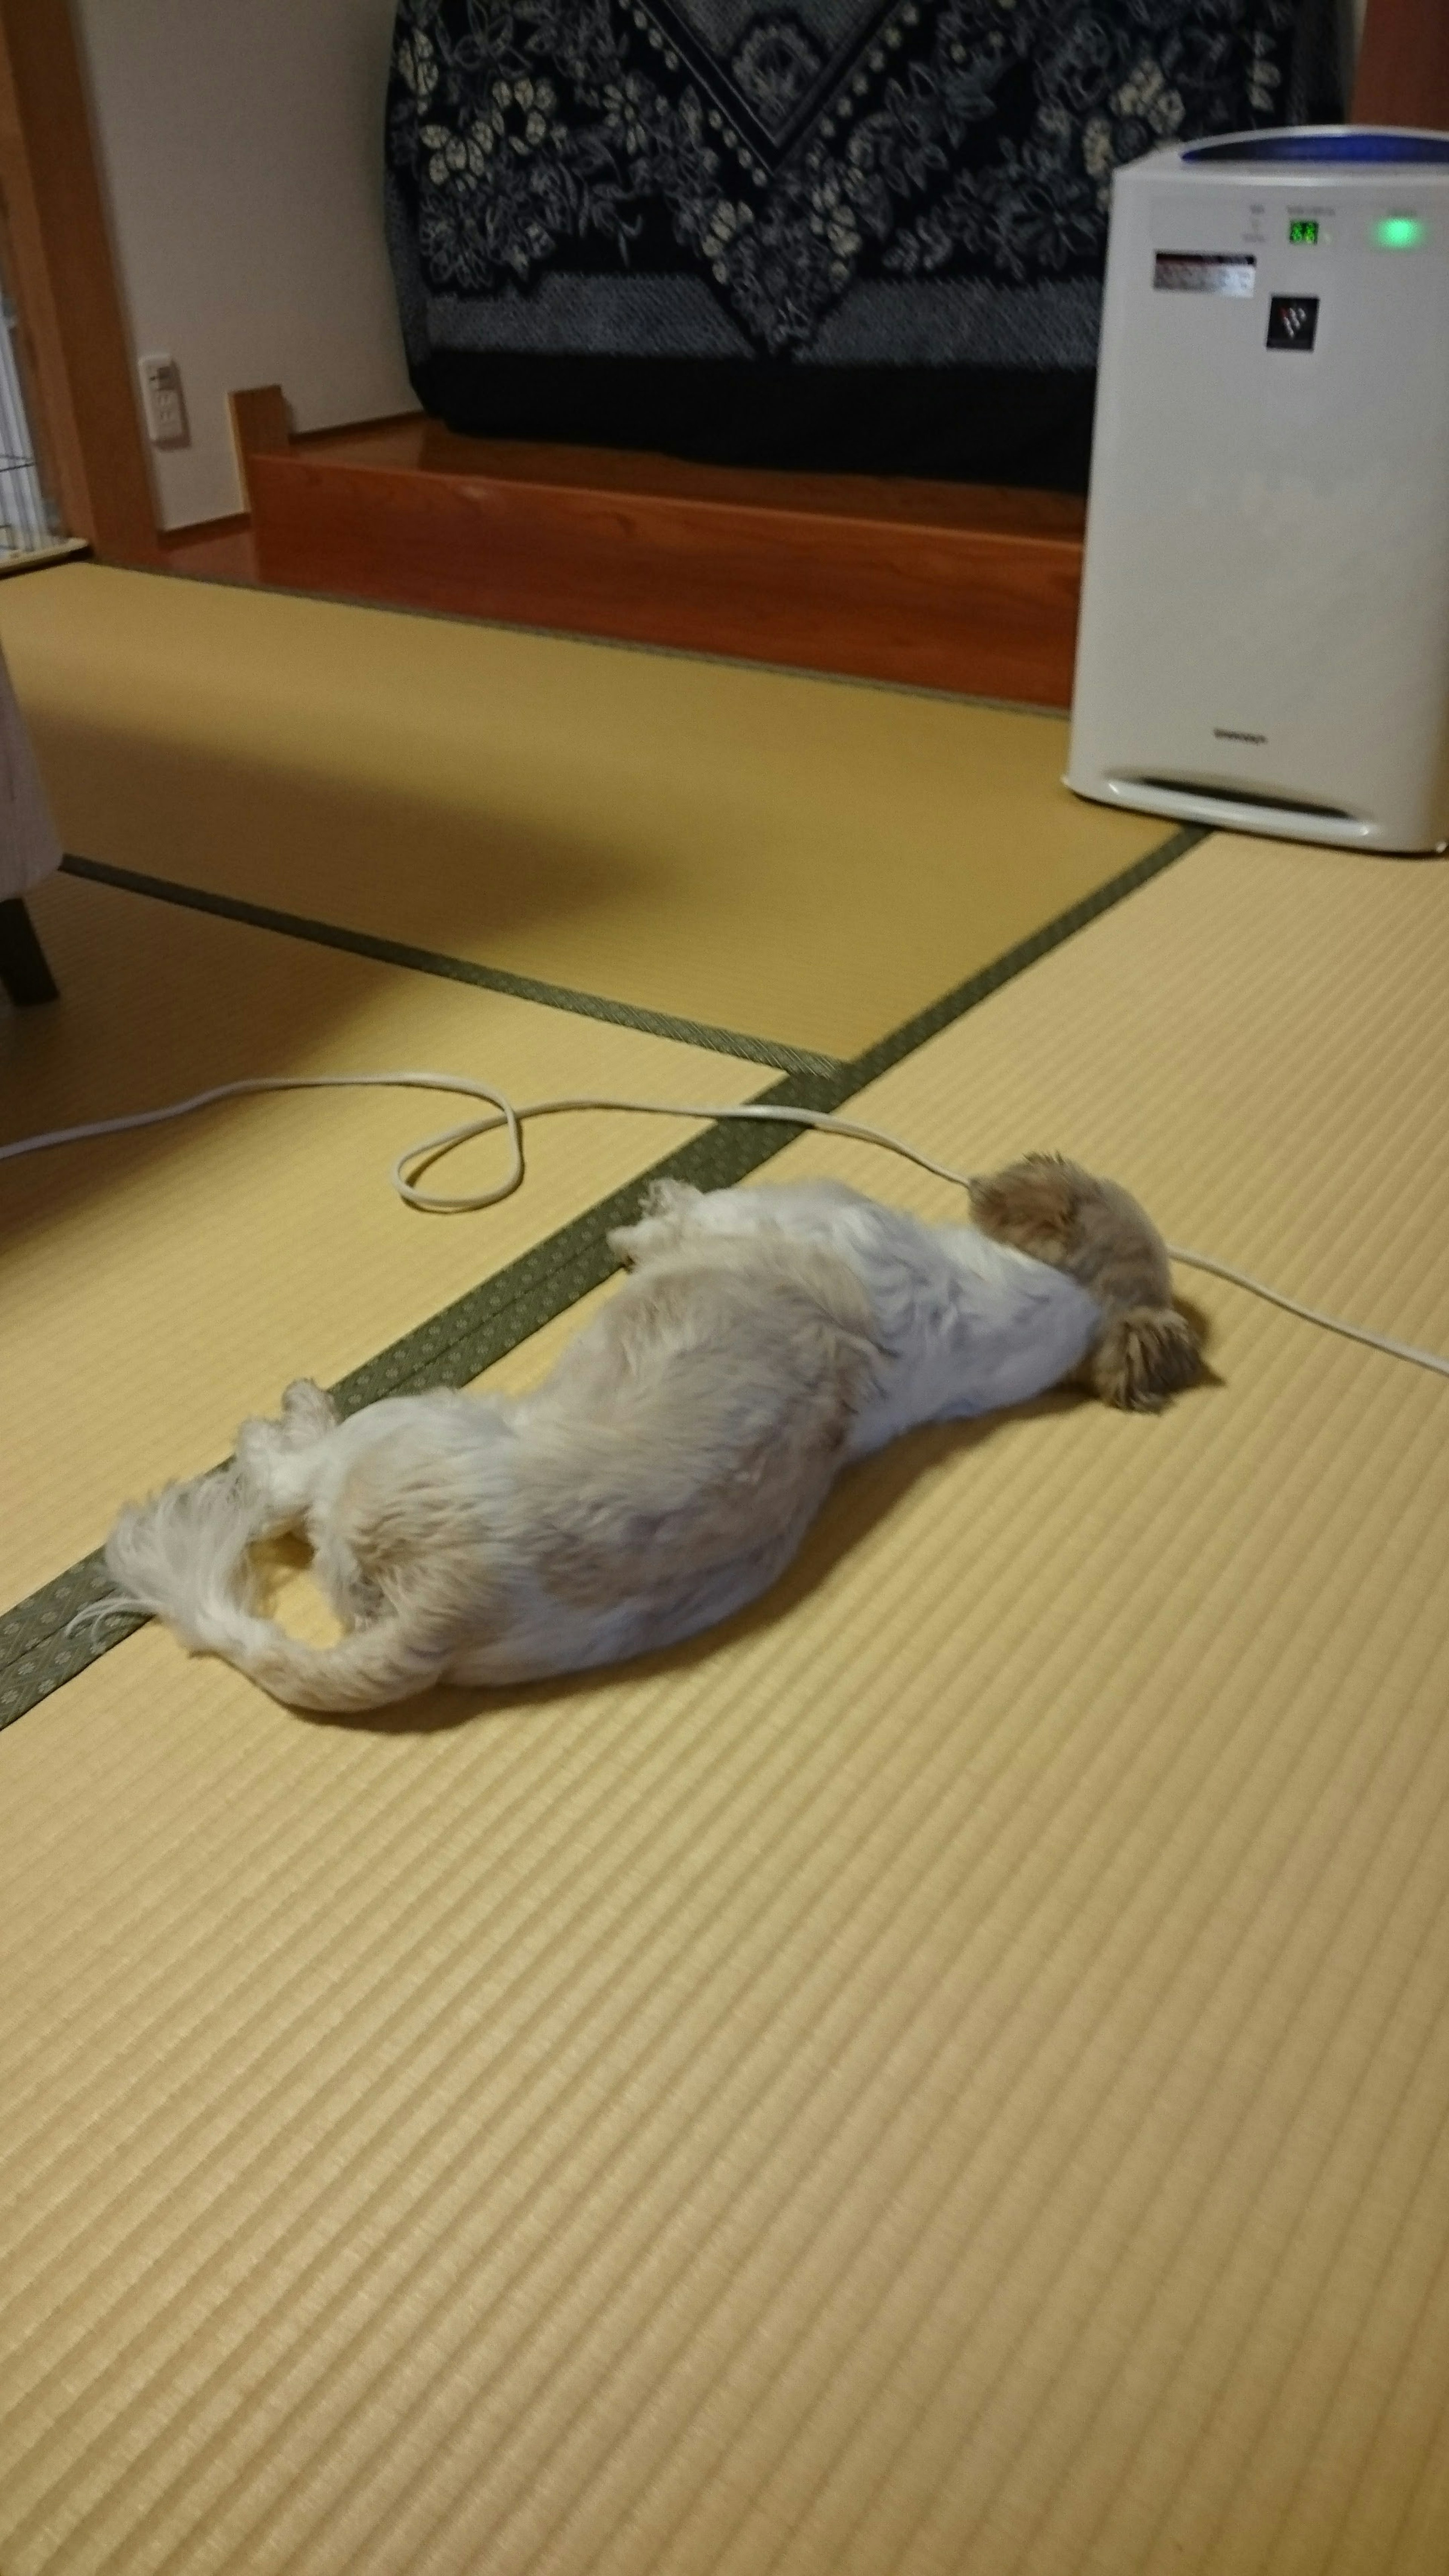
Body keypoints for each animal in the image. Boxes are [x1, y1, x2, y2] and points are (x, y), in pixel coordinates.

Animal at [102, 1164, 1196, 1710]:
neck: (988, 1310)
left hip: (408, 1428)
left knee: (292, 1484)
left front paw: (648, 1211)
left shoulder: (762, 1214)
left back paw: (285, 1427)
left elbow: (678, 1222)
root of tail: (440, 1616)